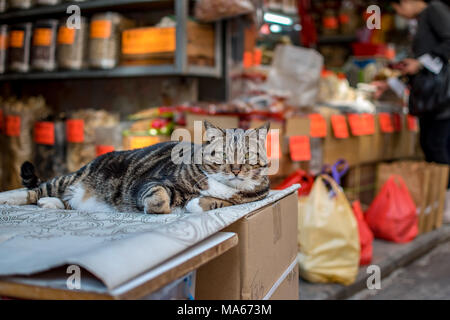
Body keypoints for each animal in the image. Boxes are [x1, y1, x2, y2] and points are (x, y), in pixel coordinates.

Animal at [0, 121, 268, 214]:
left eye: (247, 155)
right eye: (222, 154)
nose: (235, 170)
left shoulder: (246, 199)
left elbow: (216, 202)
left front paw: (196, 204)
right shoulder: (151, 181)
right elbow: (158, 196)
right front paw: (157, 208)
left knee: (64, 202)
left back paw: (51, 204)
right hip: (72, 178)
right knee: (36, 190)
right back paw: (10, 198)